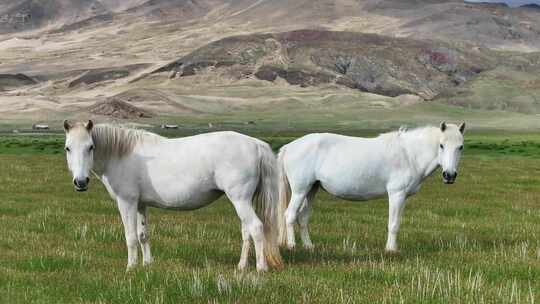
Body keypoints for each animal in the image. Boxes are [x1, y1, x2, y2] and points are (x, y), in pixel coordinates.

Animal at [62, 120, 282, 272]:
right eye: (68, 148)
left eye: (90, 147)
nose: (81, 182)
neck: (120, 154)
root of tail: (256, 144)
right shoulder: (140, 204)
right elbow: (143, 235)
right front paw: (147, 264)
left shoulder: (127, 202)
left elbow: (130, 236)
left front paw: (130, 268)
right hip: (243, 201)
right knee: (246, 231)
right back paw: (242, 266)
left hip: (240, 200)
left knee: (256, 227)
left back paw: (261, 268)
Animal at [278, 121, 464, 252]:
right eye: (441, 145)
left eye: (460, 147)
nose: (449, 175)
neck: (409, 154)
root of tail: (289, 146)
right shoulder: (396, 194)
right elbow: (393, 224)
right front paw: (391, 250)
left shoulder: (403, 197)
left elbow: (397, 223)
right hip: (300, 190)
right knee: (290, 215)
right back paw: (292, 246)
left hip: (312, 189)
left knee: (303, 218)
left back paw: (309, 246)